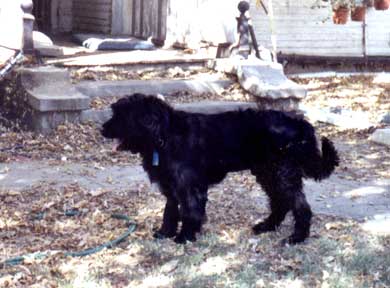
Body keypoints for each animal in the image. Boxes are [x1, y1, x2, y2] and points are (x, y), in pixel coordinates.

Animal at [101, 93, 338, 244]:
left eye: (121, 116)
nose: (102, 129)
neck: (164, 136)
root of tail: (300, 124)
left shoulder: (189, 187)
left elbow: (189, 212)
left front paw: (185, 237)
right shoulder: (172, 187)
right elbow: (169, 212)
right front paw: (165, 233)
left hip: (281, 173)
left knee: (300, 206)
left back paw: (297, 238)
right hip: (268, 173)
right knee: (280, 203)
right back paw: (266, 226)